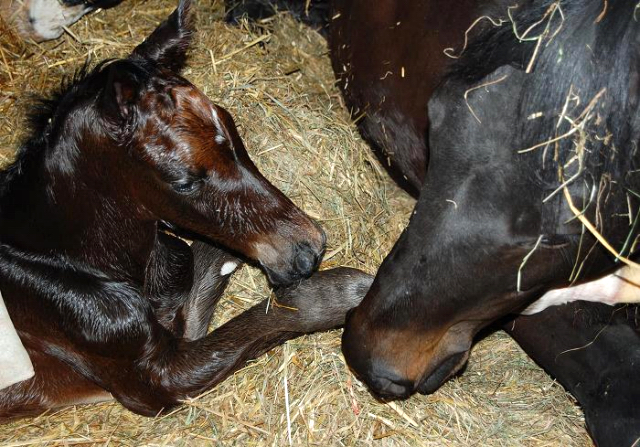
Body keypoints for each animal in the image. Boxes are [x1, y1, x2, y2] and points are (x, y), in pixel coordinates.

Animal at [0, 0, 376, 420]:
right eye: (182, 181)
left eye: (232, 128)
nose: (307, 248)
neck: (70, 258)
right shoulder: (155, 381)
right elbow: (266, 318)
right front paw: (348, 291)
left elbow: (202, 275)